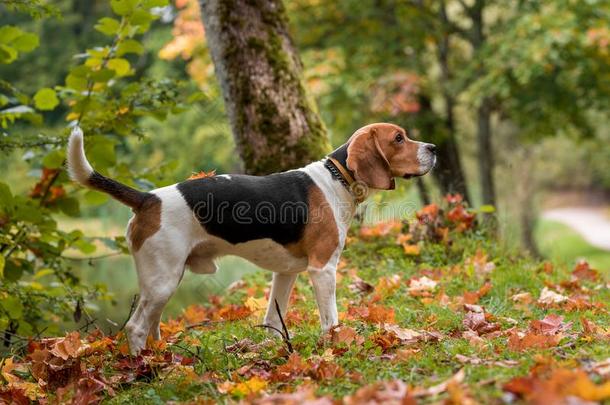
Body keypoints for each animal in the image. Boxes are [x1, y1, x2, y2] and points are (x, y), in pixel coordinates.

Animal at [67, 121, 432, 352]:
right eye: (398, 138)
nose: (433, 147)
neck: (336, 178)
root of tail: (148, 198)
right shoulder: (323, 270)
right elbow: (331, 319)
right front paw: (335, 346)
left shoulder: (285, 273)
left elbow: (272, 318)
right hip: (163, 280)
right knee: (136, 327)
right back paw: (144, 370)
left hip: (163, 282)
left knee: (151, 324)